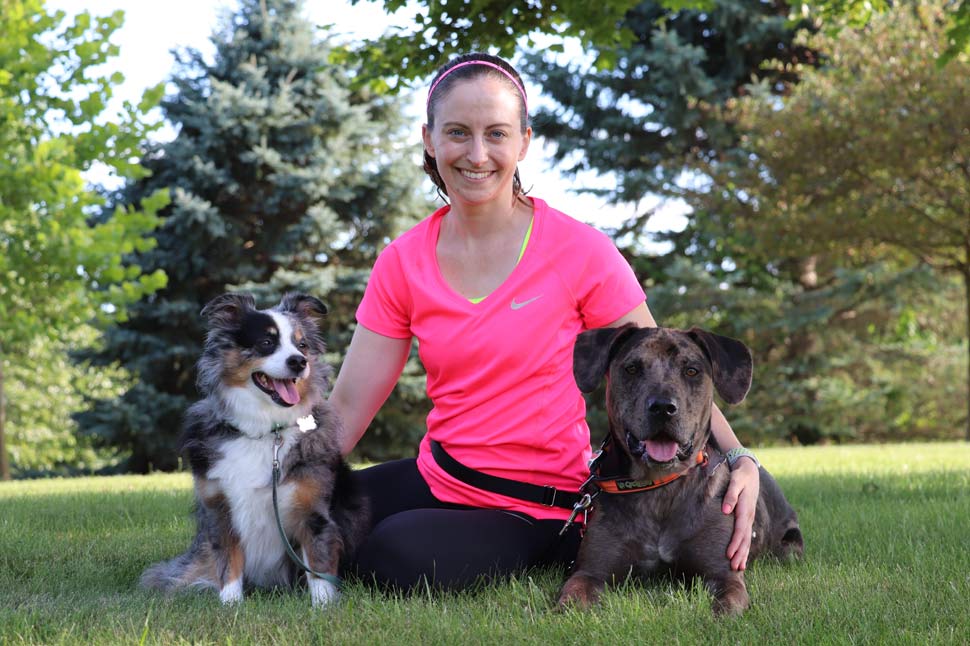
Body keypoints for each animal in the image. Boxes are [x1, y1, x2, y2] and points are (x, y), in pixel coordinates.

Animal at [142, 292, 368, 608]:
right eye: (266, 342)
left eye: (302, 345)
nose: (299, 362)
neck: (266, 431)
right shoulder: (219, 508)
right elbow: (229, 563)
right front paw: (231, 605)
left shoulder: (312, 511)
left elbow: (318, 566)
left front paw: (323, 606)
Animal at [560, 330, 800, 616]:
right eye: (632, 368)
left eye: (692, 370)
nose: (663, 407)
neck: (660, 485)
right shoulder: (589, 572)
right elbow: (573, 600)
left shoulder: (724, 574)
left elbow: (726, 608)